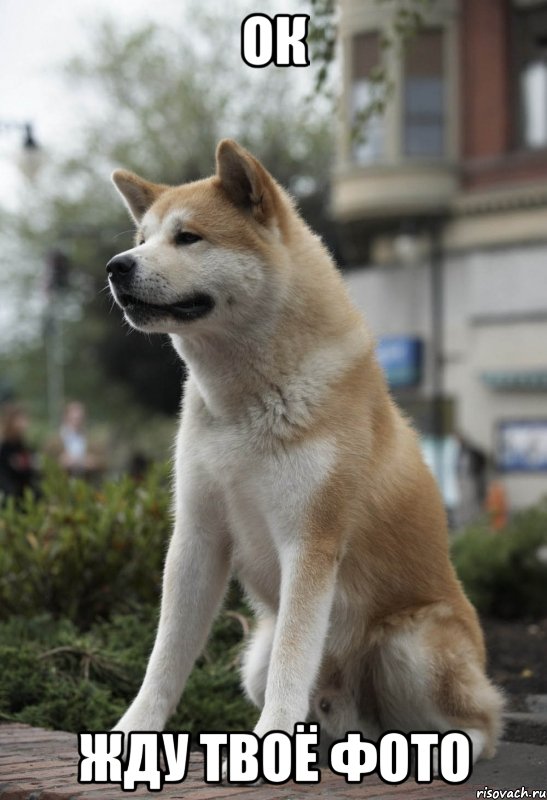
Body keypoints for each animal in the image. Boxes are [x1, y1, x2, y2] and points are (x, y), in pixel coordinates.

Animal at [107, 139, 506, 764]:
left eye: (188, 237)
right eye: (142, 238)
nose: (117, 265)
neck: (244, 403)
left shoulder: (311, 540)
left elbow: (293, 661)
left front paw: (267, 743)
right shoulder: (197, 536)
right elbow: (165, 660)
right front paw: (131, 734)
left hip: (411, 646)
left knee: (482, 724)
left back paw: (444, 746)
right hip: (255, 660)